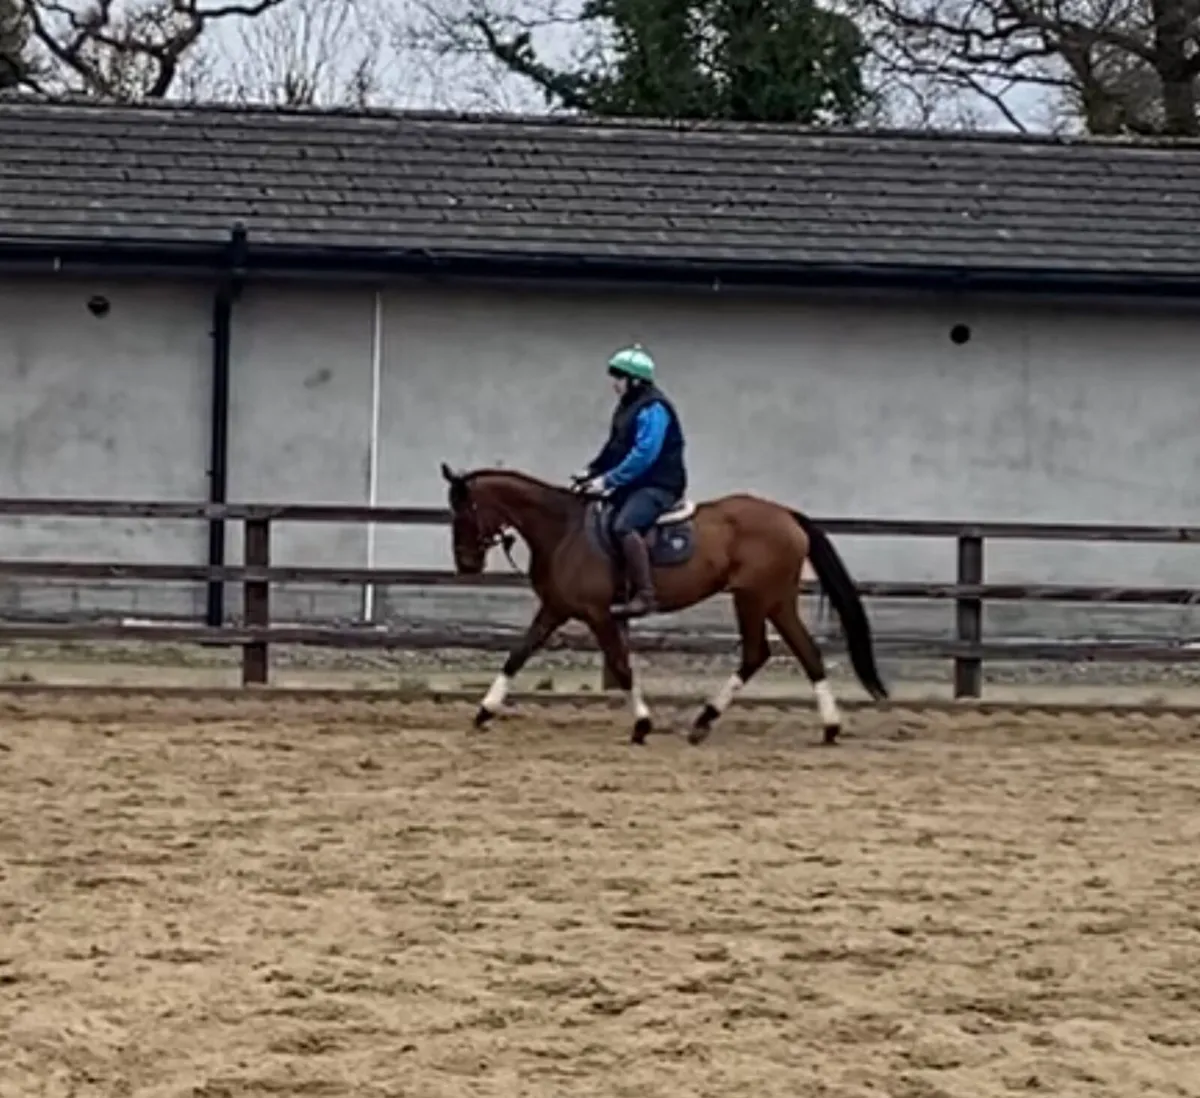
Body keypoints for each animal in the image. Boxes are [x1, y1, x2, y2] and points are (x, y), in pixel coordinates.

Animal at [440, 463, 888, 745]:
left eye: (464, 512)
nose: (466, 564)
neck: (563, 530)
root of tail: (787, 516)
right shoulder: (554, 608)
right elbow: (517, 654)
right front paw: (484, 711)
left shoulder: (599, 615)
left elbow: (621, 666)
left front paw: (642, 724)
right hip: (767, 601)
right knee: (787, 653)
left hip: (761, 598)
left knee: (774, 652)